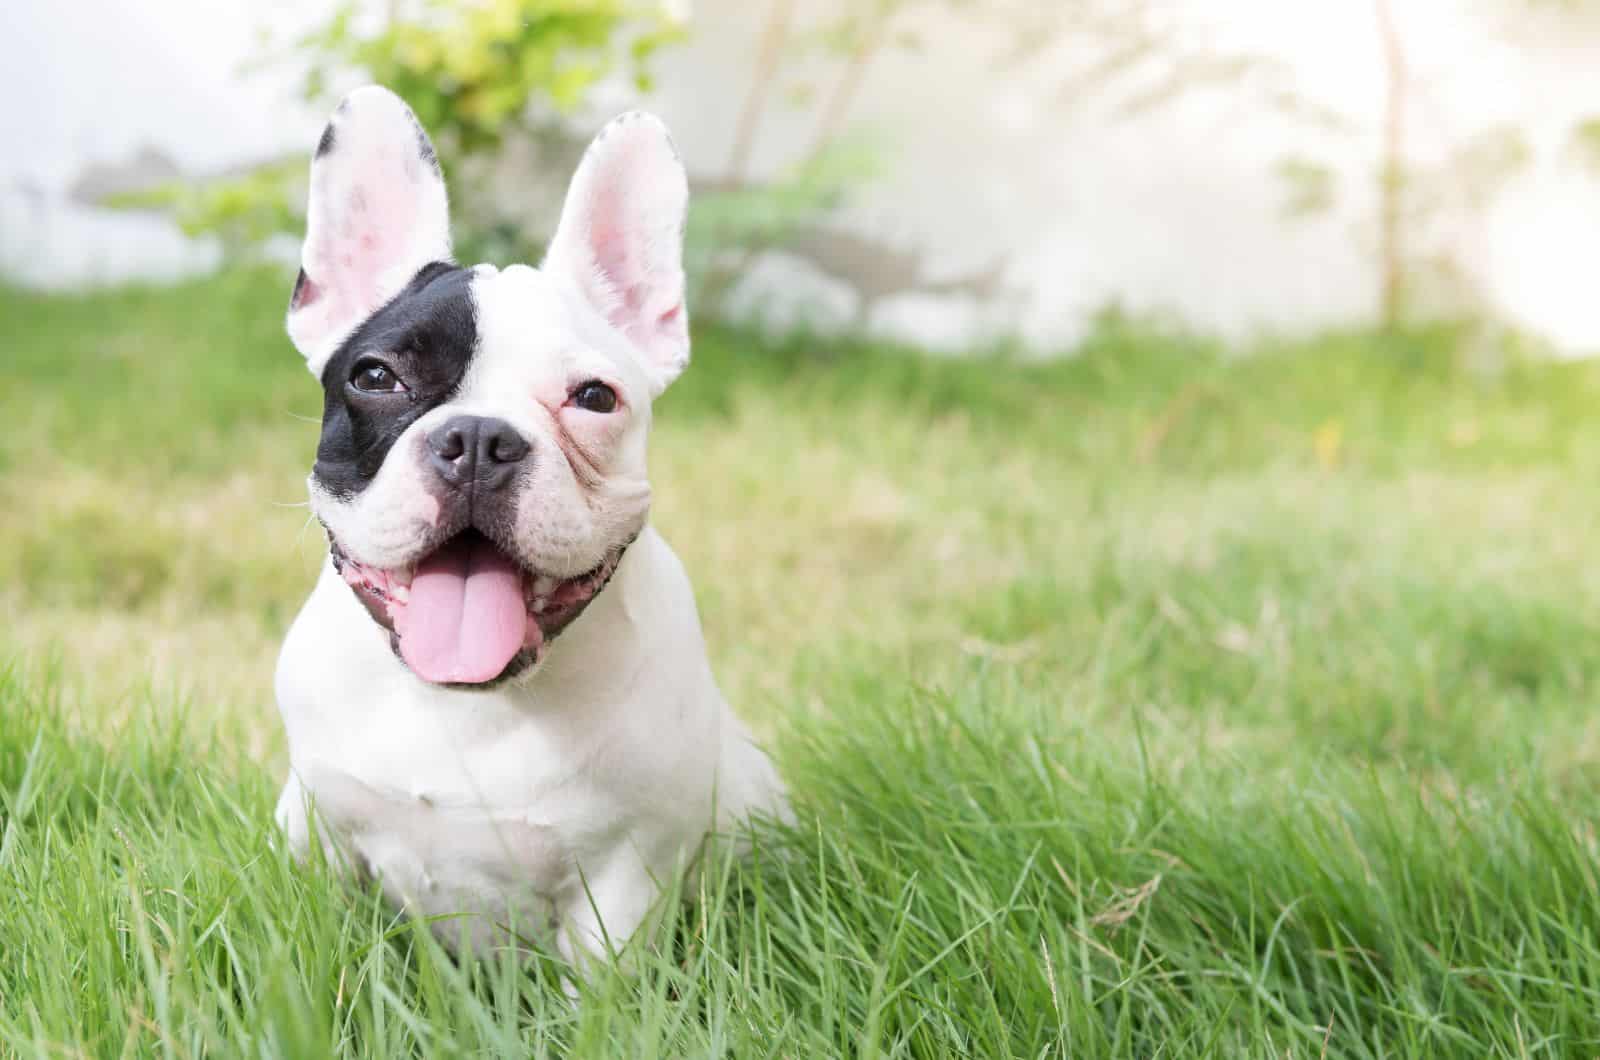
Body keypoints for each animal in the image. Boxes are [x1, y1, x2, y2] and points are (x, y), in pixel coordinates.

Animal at [273, 87, 787, 967]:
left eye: (595, 398)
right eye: (376, 377)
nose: (479, 439)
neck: (466, 703)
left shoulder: (626, 878)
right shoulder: (318, 831)